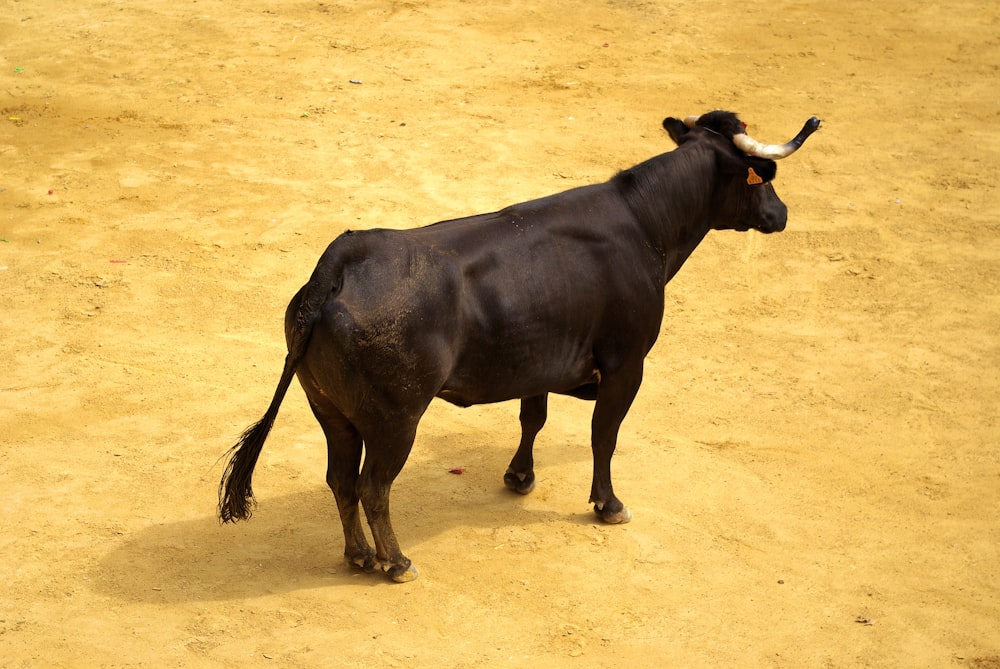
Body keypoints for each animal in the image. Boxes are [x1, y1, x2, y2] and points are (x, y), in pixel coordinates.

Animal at [219, 109, 820, 580]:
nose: (782, 214)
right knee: (373, 486)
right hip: (395, 419)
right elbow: (605, 435)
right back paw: (396, 562)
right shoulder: (627, 364)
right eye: (760, 179)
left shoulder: (540, 360)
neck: (644, 224)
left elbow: (534, 417)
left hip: (328, 409)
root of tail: (337, 266)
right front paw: (608, 505)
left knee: (341, 479)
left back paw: (360, 556)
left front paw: (520, 477)